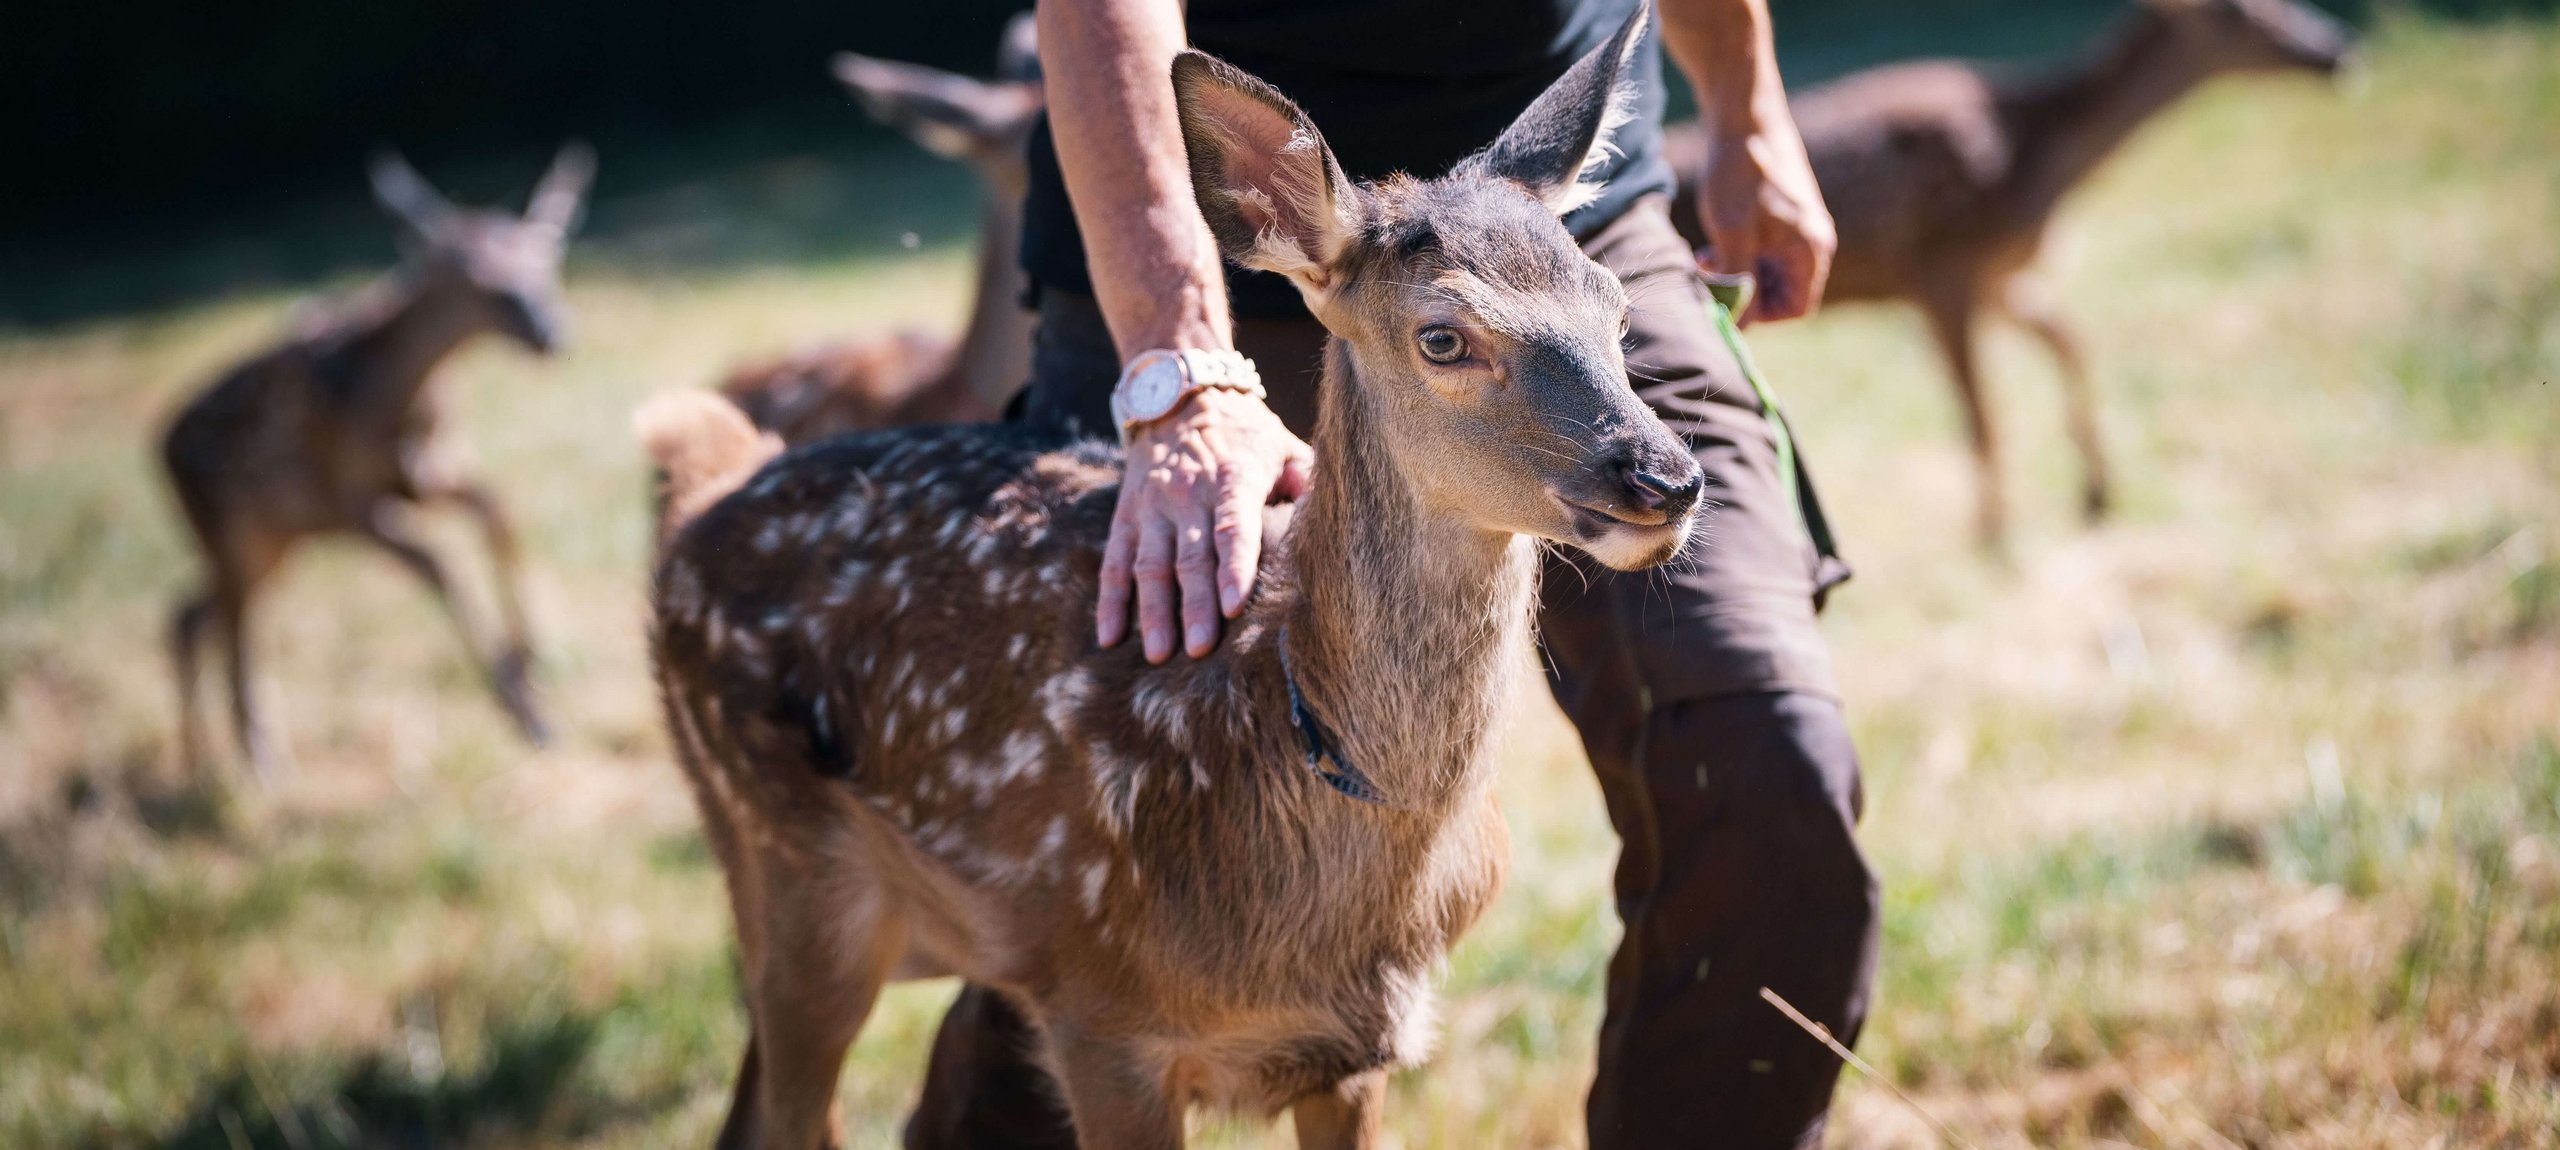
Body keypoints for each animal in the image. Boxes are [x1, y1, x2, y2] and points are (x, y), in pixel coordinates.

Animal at [162, 138, 591, 773]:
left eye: (547, 263)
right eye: (477, 282)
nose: (551, 333)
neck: (401, 399)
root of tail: (159, 445)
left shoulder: (427, 474)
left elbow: (497, 508)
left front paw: (533, 656)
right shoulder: (346, 500)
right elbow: (440, 564)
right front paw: (528, 715)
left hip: (274, 541)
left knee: (188, 615)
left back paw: (199, 760)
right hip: (231, 528)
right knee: (228, 619)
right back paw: (260, 758)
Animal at [1658, 0, 2355, 548]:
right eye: (2243, 15)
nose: (2336, 52)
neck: (2037, 156)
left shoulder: (2000, 278)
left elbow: (2072, 344)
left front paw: (2097, 495)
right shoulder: (1944, 269)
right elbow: (1984, 416)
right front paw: (1994, 536)